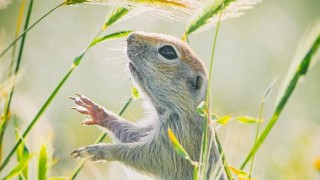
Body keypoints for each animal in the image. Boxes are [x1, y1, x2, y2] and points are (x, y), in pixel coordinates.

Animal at [70, 31, 225, 179]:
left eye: (168, 52)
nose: (130, 36)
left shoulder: (176, 138)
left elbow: (146, 157)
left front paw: (98, 150)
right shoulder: (151, 128)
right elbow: (131, 134)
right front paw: (97, 111)